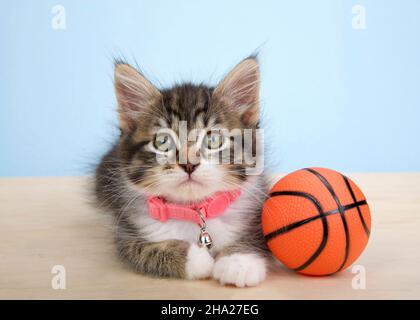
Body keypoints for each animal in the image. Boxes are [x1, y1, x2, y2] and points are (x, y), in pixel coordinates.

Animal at [94, 57, 270, 288]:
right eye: (162, 141)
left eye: (213, 139)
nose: (188, 164)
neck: (193, 210)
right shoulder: (127, 233)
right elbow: (149, 250)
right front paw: (197, 259)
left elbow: (256, 234)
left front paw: (239, 261)